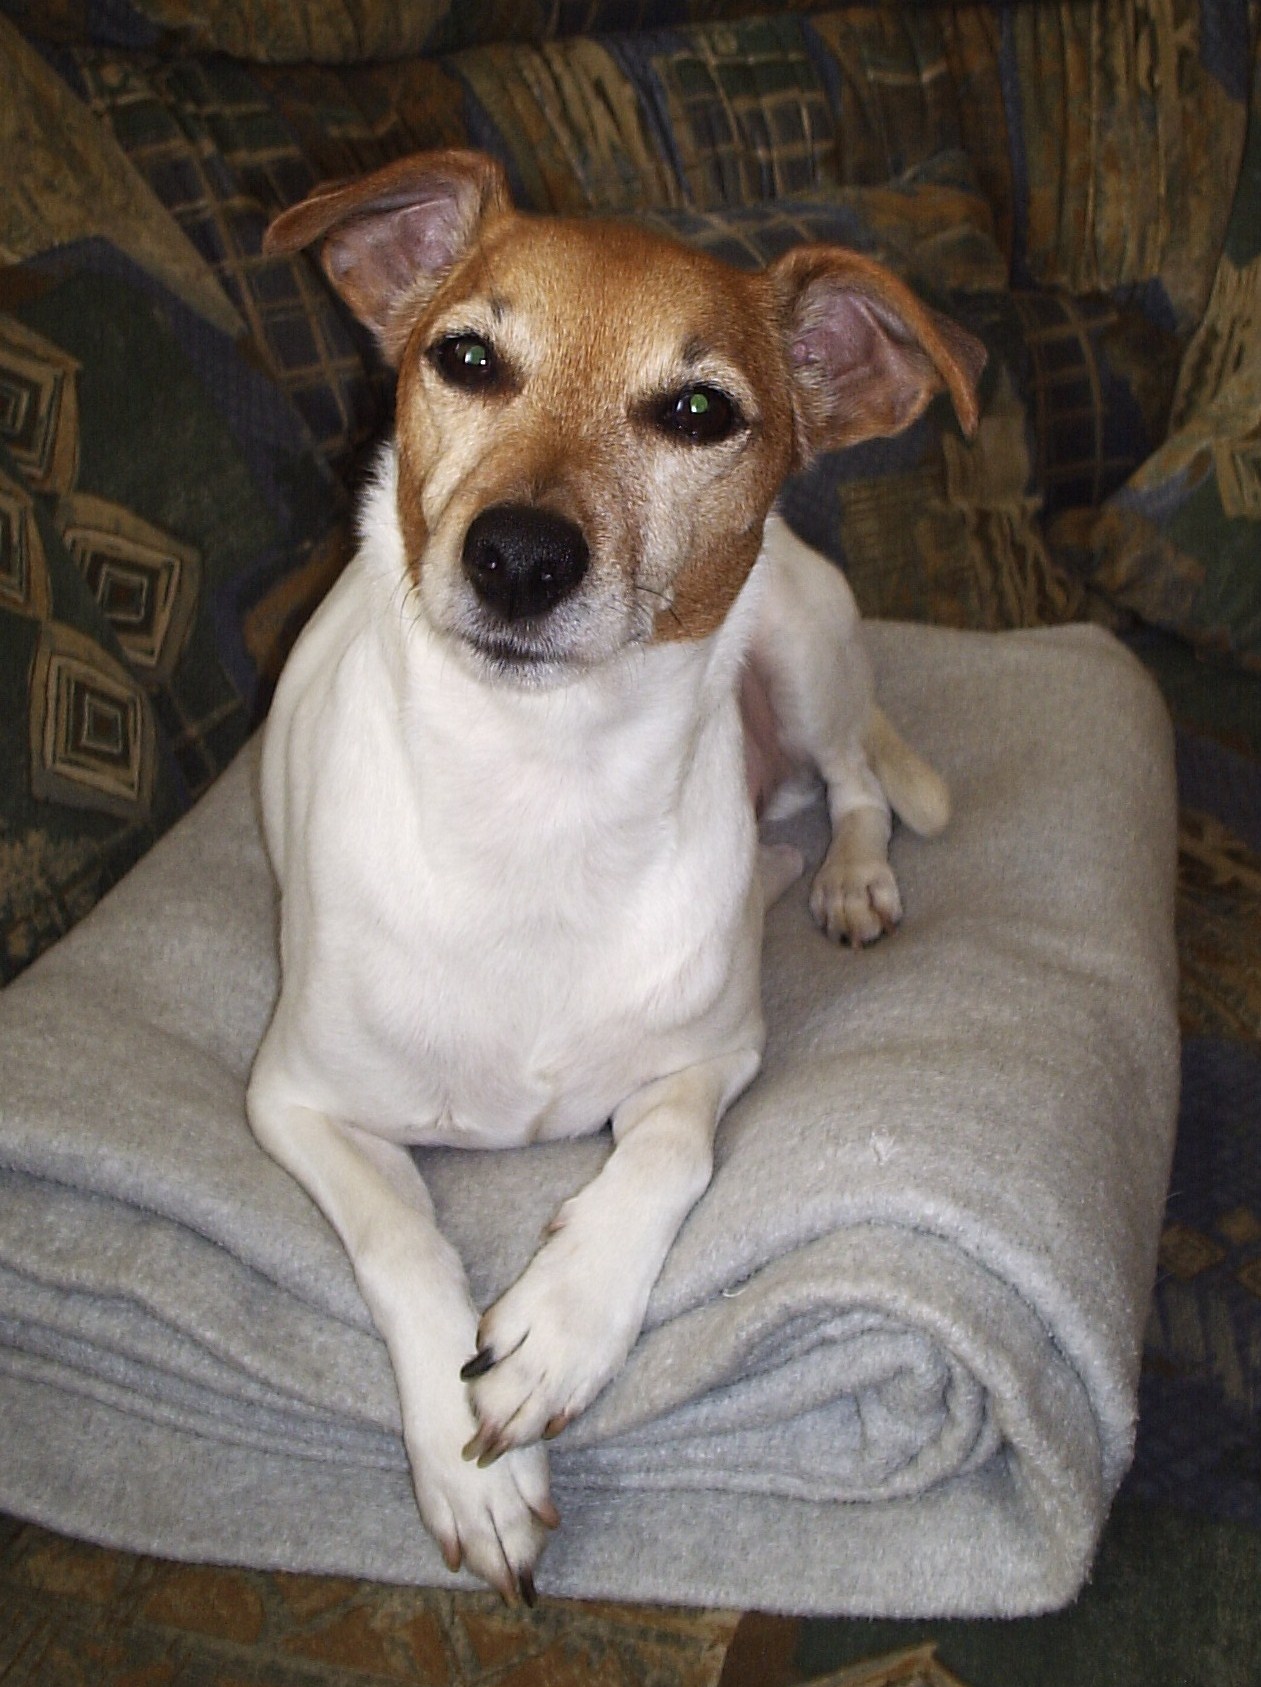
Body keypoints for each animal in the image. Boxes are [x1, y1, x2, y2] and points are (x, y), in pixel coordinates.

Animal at [249, 149, 984, 1602]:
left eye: (699, 409)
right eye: (466, 356)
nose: (519, 556)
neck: (545, 795)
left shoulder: (710, 1057)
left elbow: (667, 1155)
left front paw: (556, 1326)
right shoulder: (292, 1100)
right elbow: (401, 1233)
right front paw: (471, 1472)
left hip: (803, 648)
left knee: (857, 784)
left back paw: (845, 880)